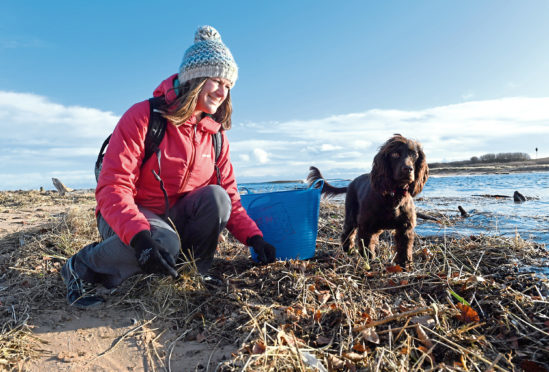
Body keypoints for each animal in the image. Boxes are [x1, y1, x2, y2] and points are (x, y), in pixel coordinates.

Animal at [308, 134, 428, 268]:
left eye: (414, 155)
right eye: (395, 154)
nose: (408, 169)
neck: (393, 195)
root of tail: (350, 184)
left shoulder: (405, 227)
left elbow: (405, 248)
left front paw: (405, 264)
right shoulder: (366, 226)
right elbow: (367, 245)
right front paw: (369, 261)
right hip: (351, 215)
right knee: (347, 233)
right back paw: (348, 250)